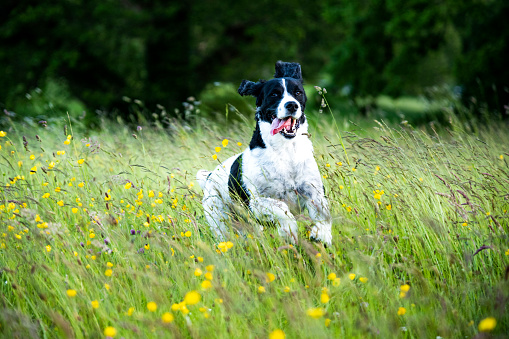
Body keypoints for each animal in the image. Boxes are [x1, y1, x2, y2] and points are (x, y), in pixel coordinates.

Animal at [196, 61, 332, 244]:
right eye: (274, 94)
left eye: (298, 92)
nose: (292, 105)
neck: (285, 151)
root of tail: (210, 176)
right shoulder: (256, 203)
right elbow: (282, 208)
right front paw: (288, 231)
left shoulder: (313, 191)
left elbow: (323, 213)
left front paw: (321, 234)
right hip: (220, 219)